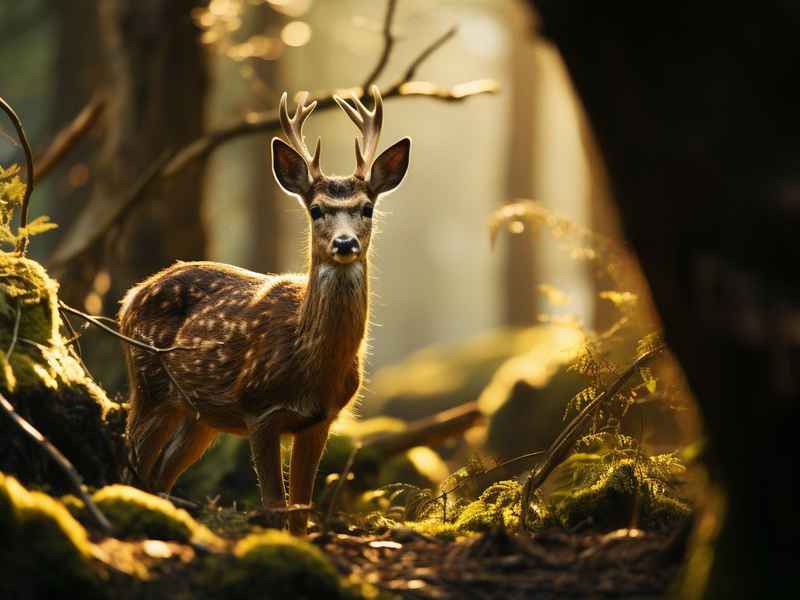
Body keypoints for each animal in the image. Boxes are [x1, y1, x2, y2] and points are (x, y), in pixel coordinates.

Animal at [118, 86, 410, 534]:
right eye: (316, 209)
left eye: (367, 208)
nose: (345, 243)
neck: (311, 367)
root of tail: (129, 297)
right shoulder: (258, 408)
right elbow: (274, 505)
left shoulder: (321, 419)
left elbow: (301, 508)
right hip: (148, 383)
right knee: (130, 463)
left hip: (198, 415)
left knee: (159, 475)